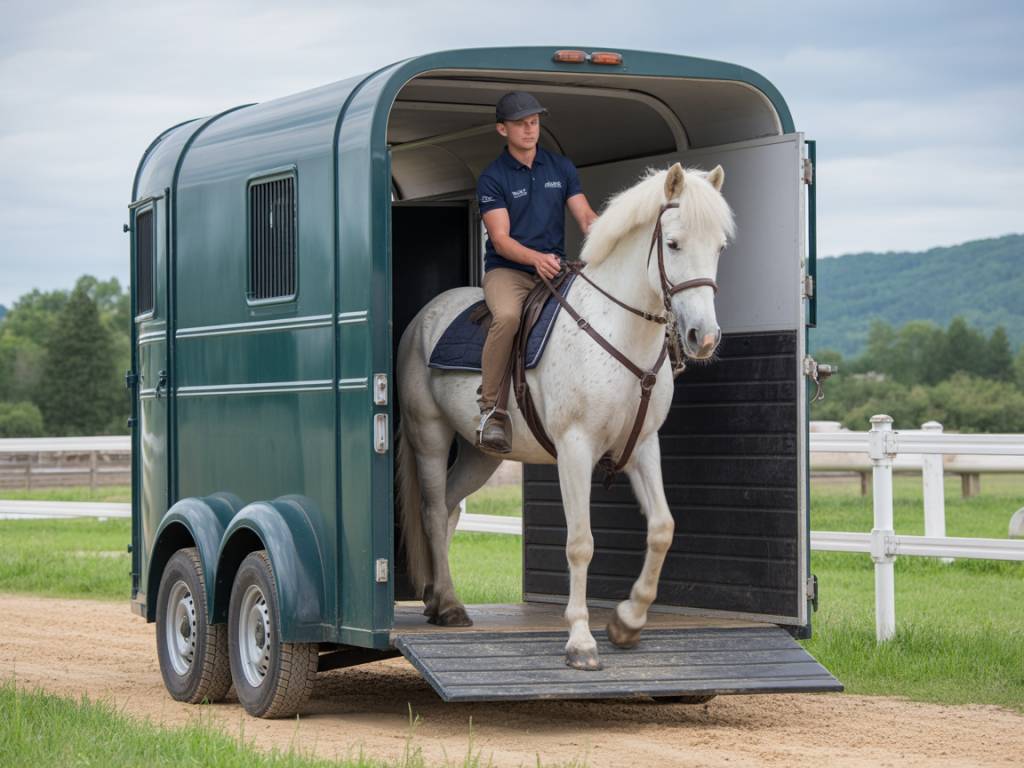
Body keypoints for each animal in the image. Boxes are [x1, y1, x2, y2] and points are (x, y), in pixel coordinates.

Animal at [395, 162, 734, 670]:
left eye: (718, 247)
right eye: (673, 243)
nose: (704, 338)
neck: (618, 329)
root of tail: (423, 318)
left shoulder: (642, 446)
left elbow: (662, 529)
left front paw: (627, 622)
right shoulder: (576, 448)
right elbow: (580, 542)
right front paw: (581, 641)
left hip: (481, 455)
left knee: (452, 506)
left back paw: (438, 598)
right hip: (430, 437)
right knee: (434, 511)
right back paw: (451, 606)